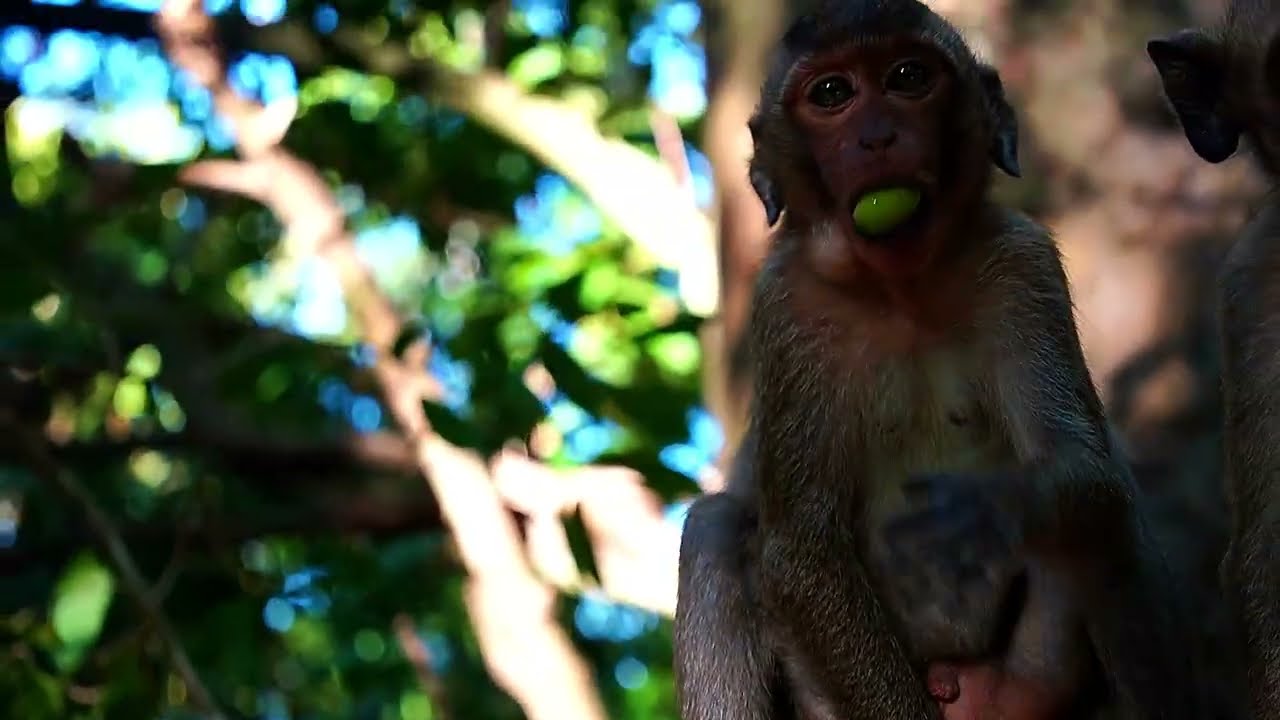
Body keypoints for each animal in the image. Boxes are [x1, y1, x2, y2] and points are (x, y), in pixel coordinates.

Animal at [673, 1, 1205, 719]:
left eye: (907, 77)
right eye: (832, 94)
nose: (877, 137)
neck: (902, 290)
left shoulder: (1021, 264)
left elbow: (1082, 467)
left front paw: (991, 507)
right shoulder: (785, 308)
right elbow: (802, 551)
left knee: (1105, 518)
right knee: (718, 525)